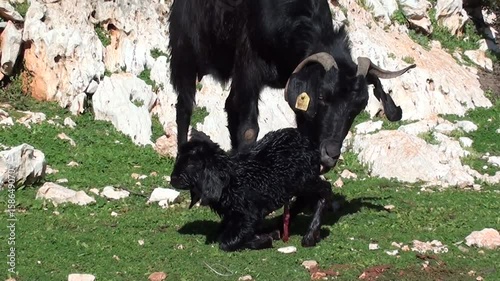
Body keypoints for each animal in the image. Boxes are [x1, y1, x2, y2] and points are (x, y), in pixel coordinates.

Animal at [168, 0, 414, 171]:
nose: (331, 154)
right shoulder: (248, 64)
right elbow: (249, 130)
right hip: (185, 49)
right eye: (323, 97)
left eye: (358, 107)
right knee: (184, 105)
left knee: (229, 104)